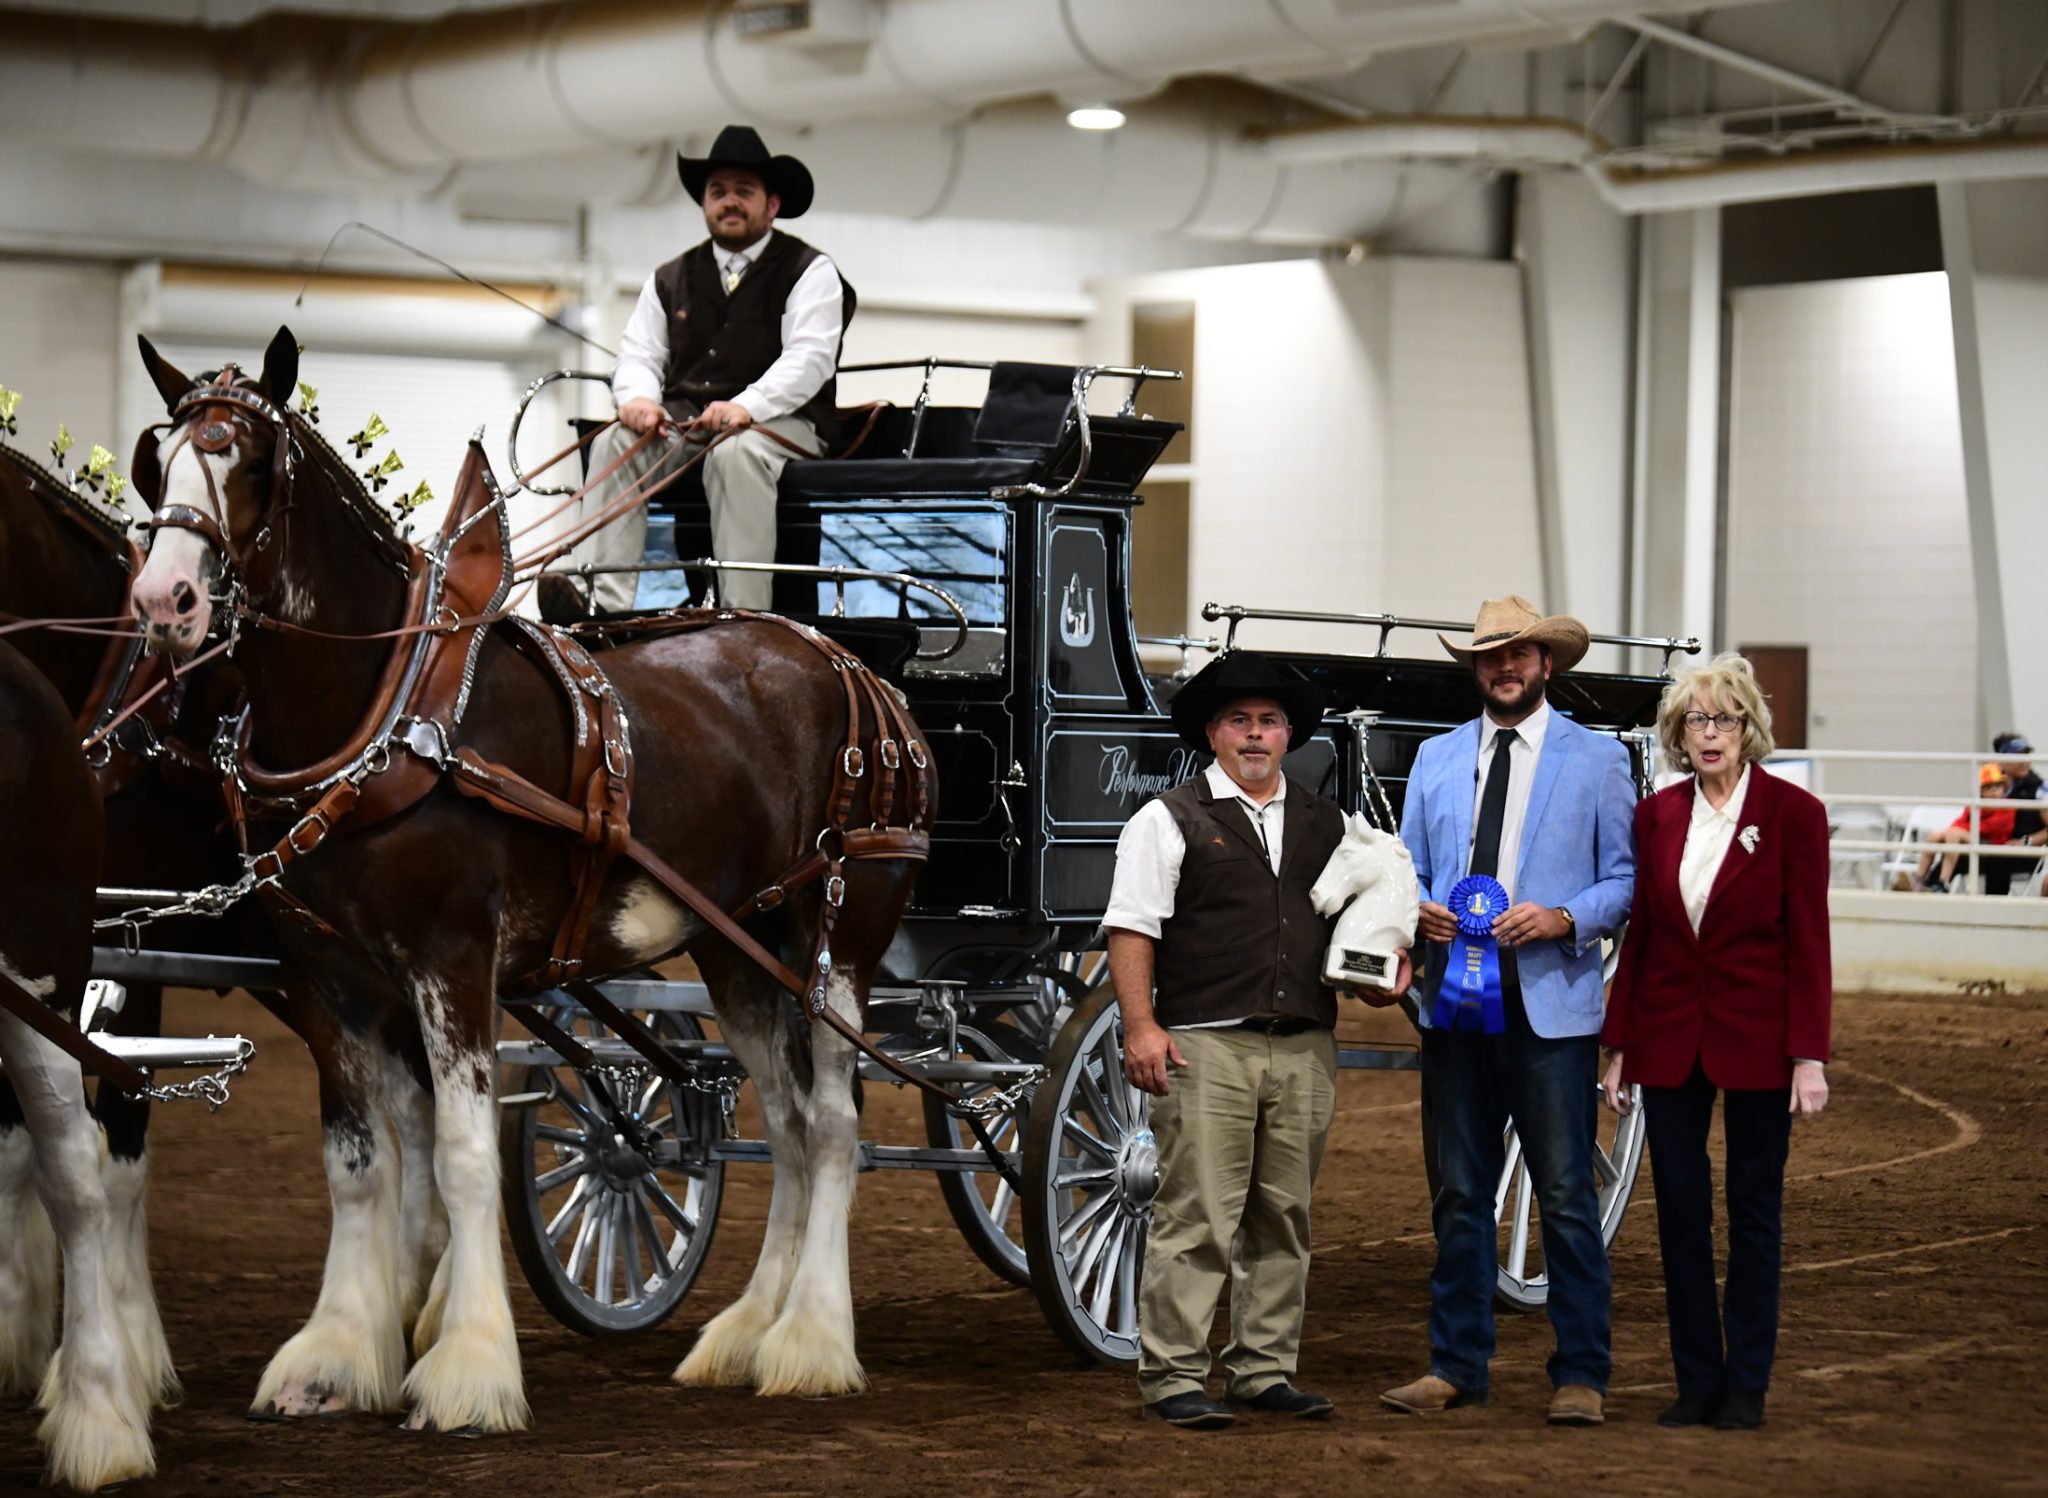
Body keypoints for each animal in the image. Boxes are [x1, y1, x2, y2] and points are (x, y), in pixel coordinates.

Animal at [132, 327, 937, 1426]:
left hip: (838, 941)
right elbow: (359, 1163)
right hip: (740, 950)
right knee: (787, 1126)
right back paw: (748, 1332)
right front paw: (334, 1355)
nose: (162, 601)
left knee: (837, 1127)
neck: (381, 714)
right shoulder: (325, 976)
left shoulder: (451, 959)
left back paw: (811, 1338)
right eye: (159, 458)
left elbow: (464, 1155)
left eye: (251, 463)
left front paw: (468, 1367)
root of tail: (857, 669)